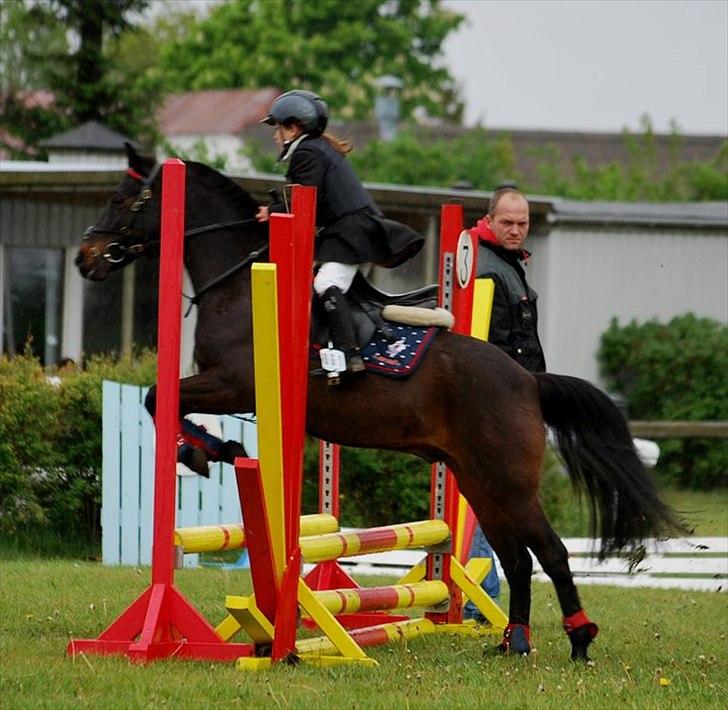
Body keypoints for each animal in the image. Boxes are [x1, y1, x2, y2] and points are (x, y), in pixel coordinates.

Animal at [75, 144, 686, 662]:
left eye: (123, 198)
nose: (85, 258)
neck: (238, 281)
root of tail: (529, 382)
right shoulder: (226, 384)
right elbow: (162, 400)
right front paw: (208, 449)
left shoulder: (232, 382)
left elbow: (158, 397)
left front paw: (209, 451)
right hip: (479, 480)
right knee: (516, 558)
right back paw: (512, 643)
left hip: (508, 481)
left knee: (551, 553)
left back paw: (579, 640)